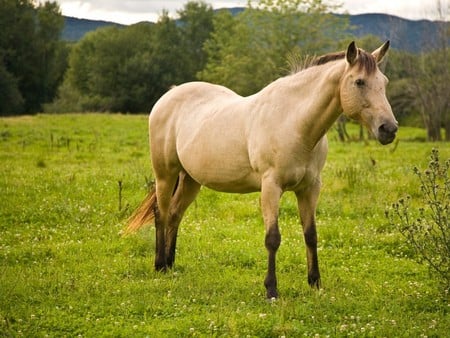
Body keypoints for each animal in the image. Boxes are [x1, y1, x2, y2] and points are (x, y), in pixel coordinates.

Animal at [126, 40, 398, 298]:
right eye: (359, 82)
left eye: (384, 82)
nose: (389, 129)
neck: (294, 123)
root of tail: (169, 95)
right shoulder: (271, 187)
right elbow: (273, 238)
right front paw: (271, 290)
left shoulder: (310, 188)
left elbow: (311, 234)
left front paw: (315, 284)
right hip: (165, 174)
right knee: (161, 214)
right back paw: (160, 265)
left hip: (191, 180)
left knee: (175, 214)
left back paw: (171, 265)